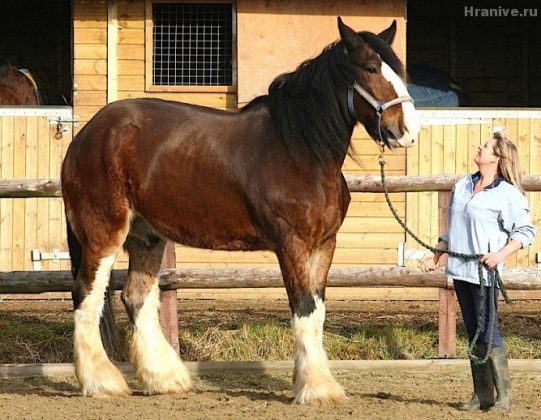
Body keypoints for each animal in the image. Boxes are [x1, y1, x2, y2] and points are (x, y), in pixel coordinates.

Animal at [61, 18, 420, 404]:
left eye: (399, 70)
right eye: (370, 68)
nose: (407, 131)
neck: (300, 149)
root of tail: (87, 135)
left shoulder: (324, 245)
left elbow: (317, 312)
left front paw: (311, 382)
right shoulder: (292, 244)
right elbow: (304, 310)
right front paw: (316, 388)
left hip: (147, 238)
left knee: (136, 298)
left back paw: (164, 378)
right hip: (103, 233)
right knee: (86, 296)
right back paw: (100, 382)